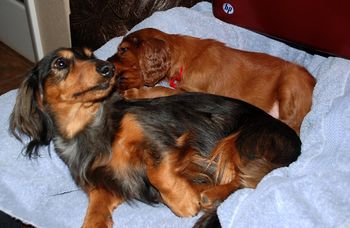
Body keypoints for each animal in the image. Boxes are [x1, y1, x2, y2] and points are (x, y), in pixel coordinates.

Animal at [10, 48, 300, 228]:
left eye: (91, 56)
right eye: (60, 63)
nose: (107, 68)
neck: (90, 126)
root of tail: (297, 143)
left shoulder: (166, 138)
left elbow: (157, 172)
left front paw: (183, 200)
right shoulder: (108, 183)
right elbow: (95, 208)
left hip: (242, 141)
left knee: (246, 180)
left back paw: (209, 193)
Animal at [108, 27, 316, 134]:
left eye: (123, 50)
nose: (108, 63)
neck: (184, 58)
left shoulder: (197, 91)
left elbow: (164, 90)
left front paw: (134, 93)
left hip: (290, 84)